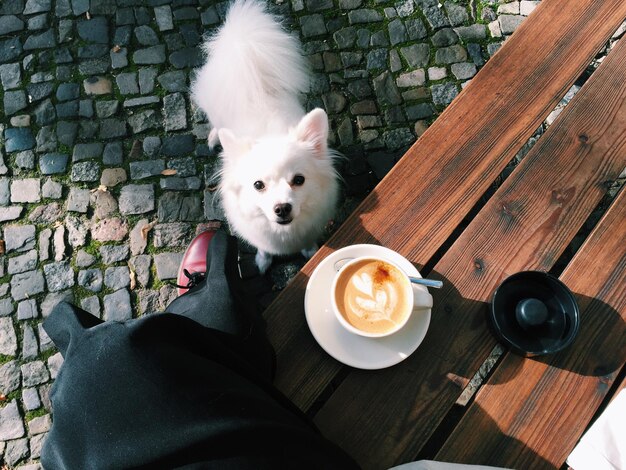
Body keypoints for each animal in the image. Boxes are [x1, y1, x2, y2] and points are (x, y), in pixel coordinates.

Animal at [190, 0, 338, 272]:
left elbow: (307, 244)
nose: (282, 208)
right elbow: (264, 250)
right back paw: (214, 137)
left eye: (299, 180)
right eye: (258, 185)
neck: (285, 236)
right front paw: (262, 261)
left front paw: (310, 252)